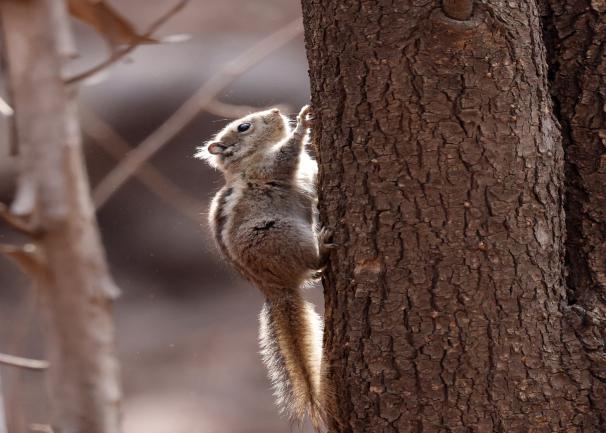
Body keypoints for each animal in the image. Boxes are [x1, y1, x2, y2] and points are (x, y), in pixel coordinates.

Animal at [197, 104, 332, 428]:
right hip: (282, 233)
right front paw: (304, 122)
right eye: (243, 127)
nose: (276, 111)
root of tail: (275, 289)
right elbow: (289, 152)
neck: (248, 161)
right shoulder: (273, 167)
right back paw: (323, 246)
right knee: (312, 262)